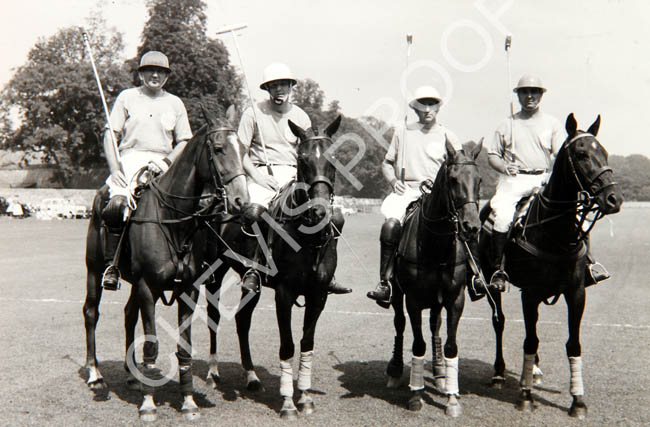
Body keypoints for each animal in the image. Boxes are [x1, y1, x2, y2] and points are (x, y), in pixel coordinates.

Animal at [83, 105, 248, 422]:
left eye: (244, 150)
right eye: (219, 149)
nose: (241, 201)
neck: (175, 223)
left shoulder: (187, 290)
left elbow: (184, 347)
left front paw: (188, 401)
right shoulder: (148, 287)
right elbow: (152, 344)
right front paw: (149, 404)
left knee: (128, 314)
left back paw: (132, 375)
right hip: (94, 269)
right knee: (90, 312)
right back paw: (95, 374)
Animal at [380, 140, 480, 418]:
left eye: (479, 180)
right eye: (453, 180)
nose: (472, 227)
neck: (436, 244)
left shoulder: (455, 299)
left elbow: (450, 345)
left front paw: (452, 399)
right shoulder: (413, 300)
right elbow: (417, 344)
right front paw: (416, 395)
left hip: (437, 300)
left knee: (435, 324)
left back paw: (439, 371)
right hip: (398, 294)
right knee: (399, 323)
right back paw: (395, 370)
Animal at [476, 113, 624, 418]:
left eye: (603, 152)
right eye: (581, 154)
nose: (614, 199)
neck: (556, 233)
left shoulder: (576, 293)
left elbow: (573, 343)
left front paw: (577, 400)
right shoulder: (530, 293)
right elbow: (529, 339)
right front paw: (525, 396)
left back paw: (534, 370)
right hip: (490, 280)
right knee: (500, 321)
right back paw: (499, 373)